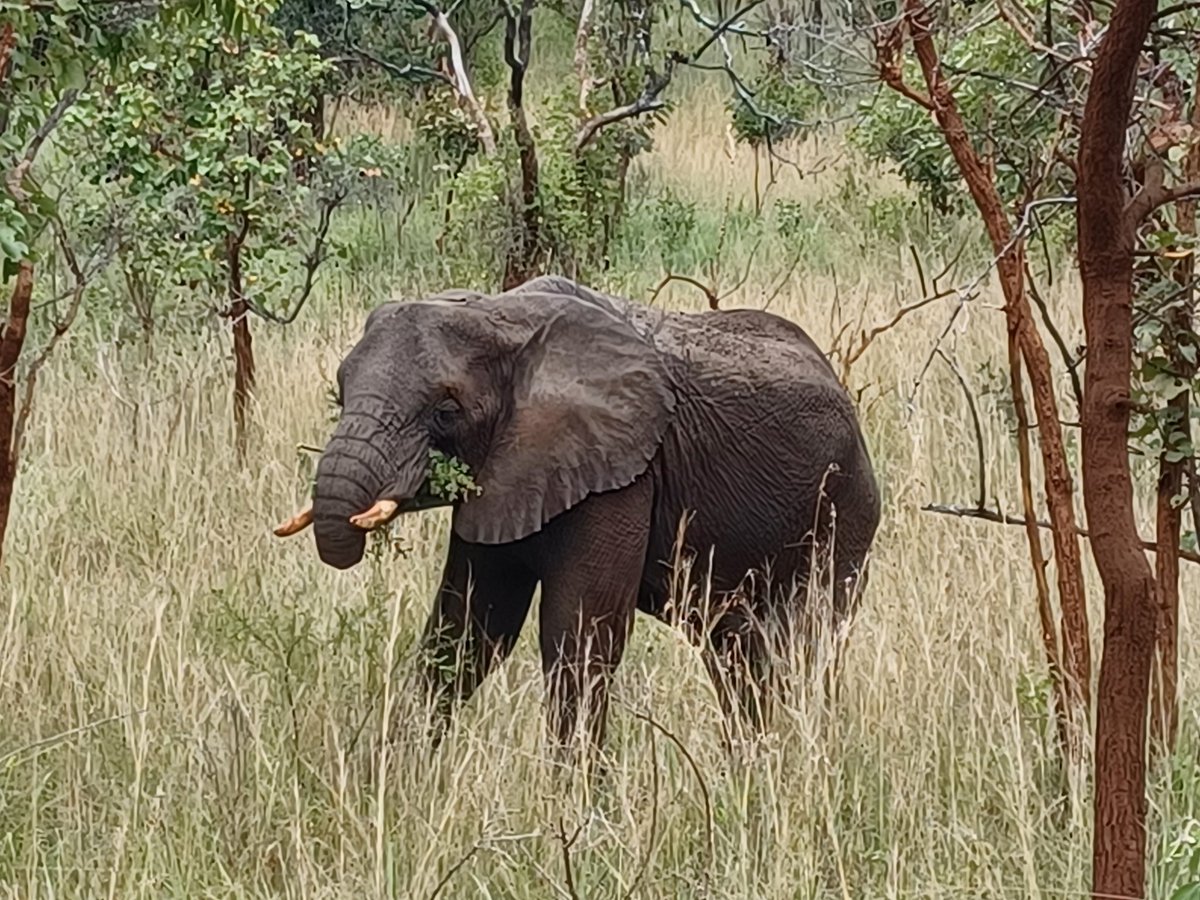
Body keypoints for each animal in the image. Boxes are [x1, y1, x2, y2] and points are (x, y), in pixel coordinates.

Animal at [275, 275, 881, 756]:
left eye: (445, 411)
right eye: (340, 392)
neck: (499, 315)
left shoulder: (623, 471)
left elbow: (579, 637)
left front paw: (574, 812)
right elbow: (468, 630)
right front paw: (398, 777)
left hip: (844, 511)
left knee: (807, 644)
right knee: (736, 652)